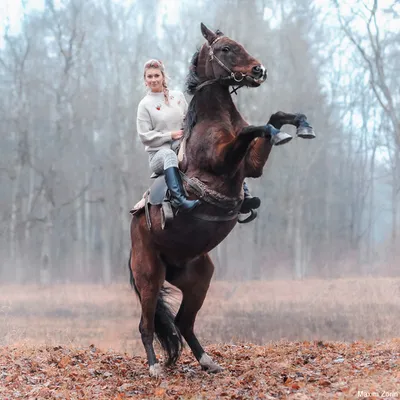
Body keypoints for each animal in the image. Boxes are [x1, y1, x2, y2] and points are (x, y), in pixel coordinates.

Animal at [130, 22, 314, 378]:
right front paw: (281, 132)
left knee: (183, 323)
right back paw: (155, 367)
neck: (216, 118)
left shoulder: (251, 166)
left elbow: (273, 118)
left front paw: (301, 124)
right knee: (147, 325)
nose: (259, 70)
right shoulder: (223, 160)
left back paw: (207, 360)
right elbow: (256, 128)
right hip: (149, 277)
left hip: (199, 278)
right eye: (226, 49)